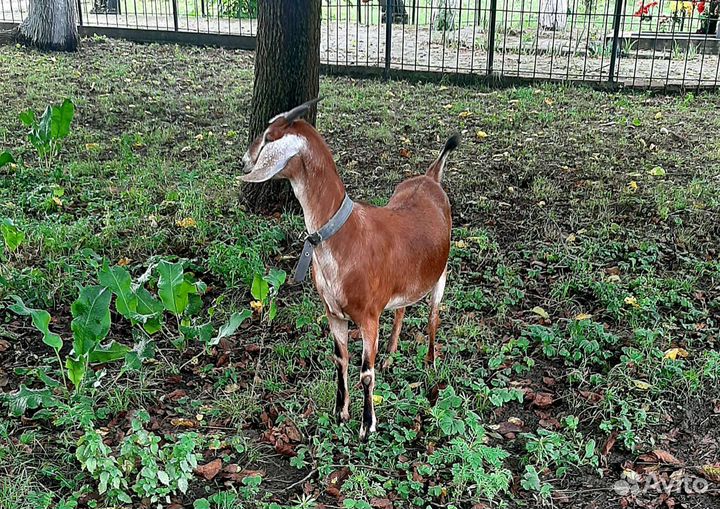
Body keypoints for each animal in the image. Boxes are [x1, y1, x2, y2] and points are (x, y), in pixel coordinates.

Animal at [241, 98, 459, 439]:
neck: (346, 234)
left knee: (433, 317)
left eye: (268, 135)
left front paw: (367, 426)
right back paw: (391, 357)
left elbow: (365, 373)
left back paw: (431, 364)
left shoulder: (368, 317)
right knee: (402, 308)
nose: (244, 162)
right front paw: (340, 412)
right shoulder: (334, 313)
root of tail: (431, 177)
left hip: (441, 273)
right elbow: (339, 359)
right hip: (406, 281)